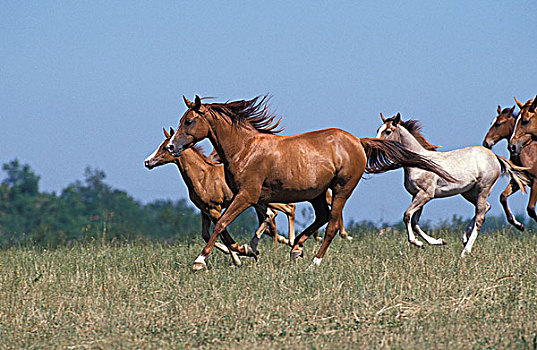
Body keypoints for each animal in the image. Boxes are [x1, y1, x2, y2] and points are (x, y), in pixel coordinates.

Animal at [144, 129, 296, 266]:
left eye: (166, 148)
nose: (147, 162)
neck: (203, 176)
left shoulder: (214, 209)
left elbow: (222, 231)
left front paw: (240, 253)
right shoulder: (204, 210)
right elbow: (206, 234)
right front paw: (239, 254)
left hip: (266, 200)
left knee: (286, 209)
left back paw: (288, 242)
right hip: (258, 202)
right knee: (273, 215)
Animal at [165, 94, 454, 270]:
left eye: (189, 120)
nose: (171, 146)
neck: (245, 148)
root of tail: (357, 142)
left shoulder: (247, 196)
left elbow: (222, 224)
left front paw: (200, 261)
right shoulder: (251, 199)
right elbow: (241, 227)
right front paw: (247, 250)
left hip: (341, 189)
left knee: (332, 224)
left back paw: (314, 261)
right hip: (316, 192)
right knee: (322, 217)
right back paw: (297, 249)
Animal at [376, 112, 528, 258]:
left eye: (388, 131)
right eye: (378, 129)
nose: (376, 146)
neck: (419, 164)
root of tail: (494, 156)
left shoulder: (425, 195)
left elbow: (407, 215)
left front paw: (417, 242)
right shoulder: (416, 195)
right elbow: (414, 222)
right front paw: (437, 241)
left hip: (483, 189)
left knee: (480, 217)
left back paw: (465, 252)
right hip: (468, 192)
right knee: (485, 207)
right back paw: (467, 236)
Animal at [480, 102, 536, 231]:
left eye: (498, 124)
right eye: (492, 123)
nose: (486, 142)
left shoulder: (536, 182)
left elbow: (530, 209)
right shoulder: (518, 181)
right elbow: (503, 197)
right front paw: (518, 224)